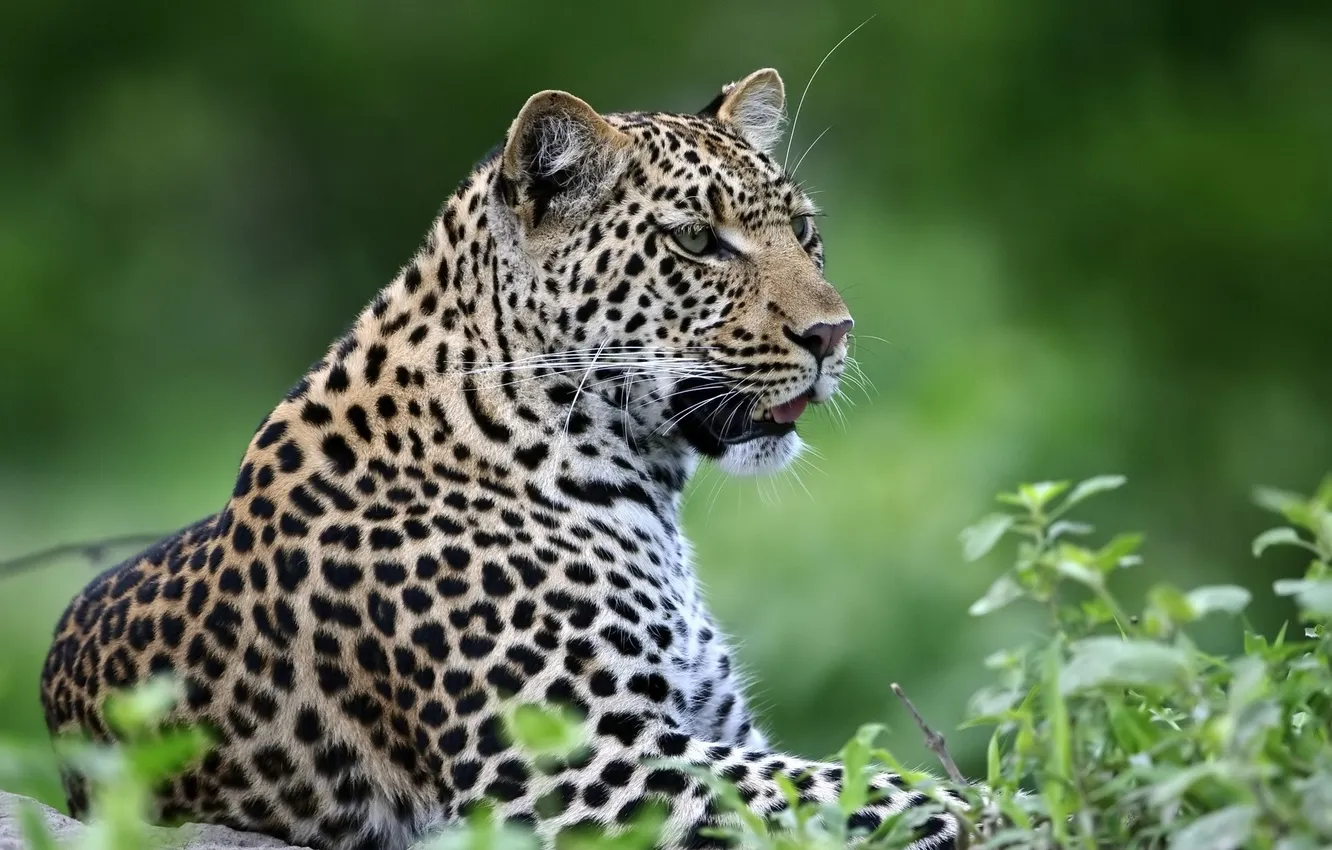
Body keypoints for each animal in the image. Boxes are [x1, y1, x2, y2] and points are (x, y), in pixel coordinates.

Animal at [39, 69, 964, 850]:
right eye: (698, 241)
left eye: (804, 231)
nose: (833, 334)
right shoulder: (572, 766)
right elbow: (849, 786)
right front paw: (960, 801)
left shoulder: (713, 726)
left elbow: (830, 773)